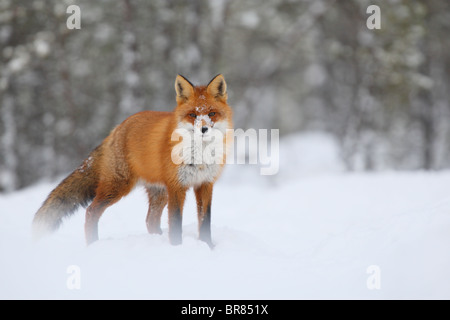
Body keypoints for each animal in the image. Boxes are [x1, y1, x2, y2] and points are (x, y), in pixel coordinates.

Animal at [32, 75, 232, 248]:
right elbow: (176, 224)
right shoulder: (177, 186)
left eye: (212, 113)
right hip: (118, 186)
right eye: (192, 115)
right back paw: (93, 245)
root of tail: (117, 128)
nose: (204, 129)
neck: (200, 157)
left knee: (150, 221)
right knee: (91, 211)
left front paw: (208, 247)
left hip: (159, 192)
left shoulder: (205, 184)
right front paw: (177, 247)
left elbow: (205, 222)